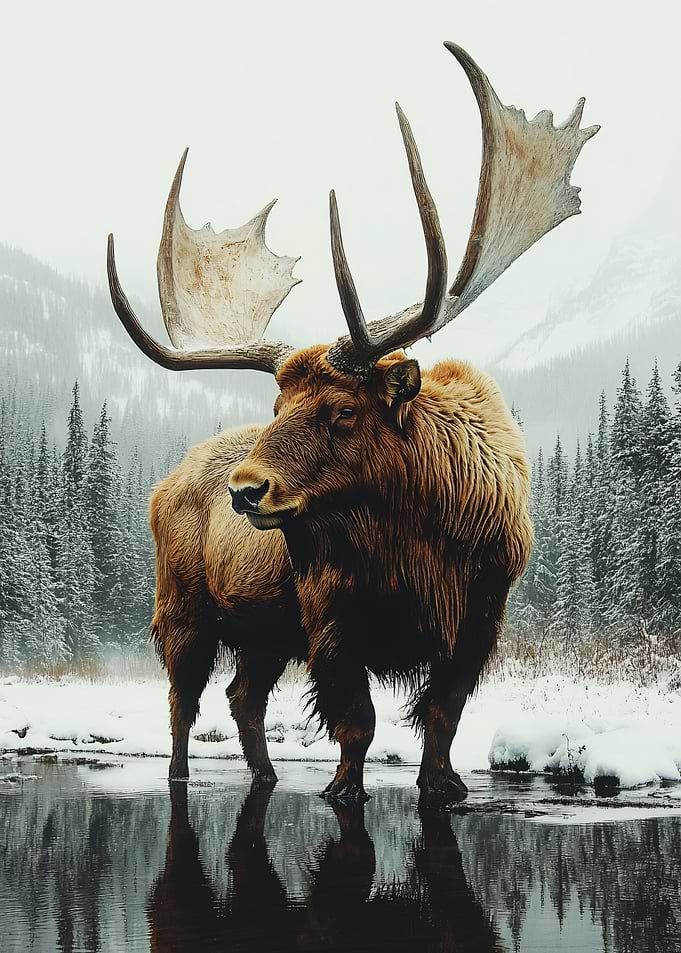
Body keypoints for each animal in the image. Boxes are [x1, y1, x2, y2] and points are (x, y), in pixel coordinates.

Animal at [107, 42, 598, 804]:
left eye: (342, 409)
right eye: (276, 408)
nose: (246, 490)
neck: (419, 541)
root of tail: (166, 483)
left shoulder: (479, 620)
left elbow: (441, 715)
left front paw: (444, 785)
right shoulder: (328, 614)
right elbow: (356, 723)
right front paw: (342, 789)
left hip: (263, 630)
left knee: (243, 697)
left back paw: (266, 771)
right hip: (182, 605)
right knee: (183, 700)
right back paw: (182, 773)